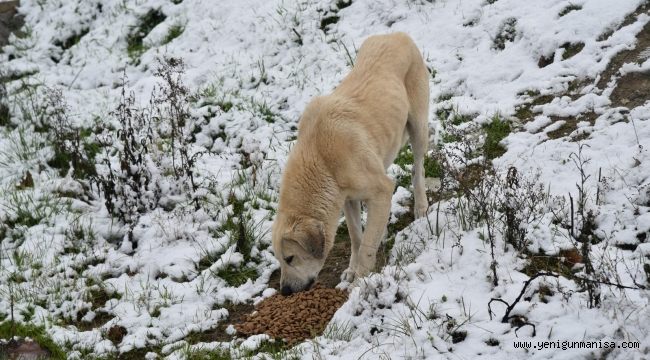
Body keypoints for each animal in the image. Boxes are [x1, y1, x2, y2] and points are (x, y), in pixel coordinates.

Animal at [270, 32, 428, 294]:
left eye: (290, 258)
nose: (285, 291)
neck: (321, 158)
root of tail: (396, 34)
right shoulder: (347, 199)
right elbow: (356, 236)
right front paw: (353, 271)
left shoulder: (381, 188)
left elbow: (366, 246)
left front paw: (360, 280)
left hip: (418, 129)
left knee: (418, 169)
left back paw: (421, 206)